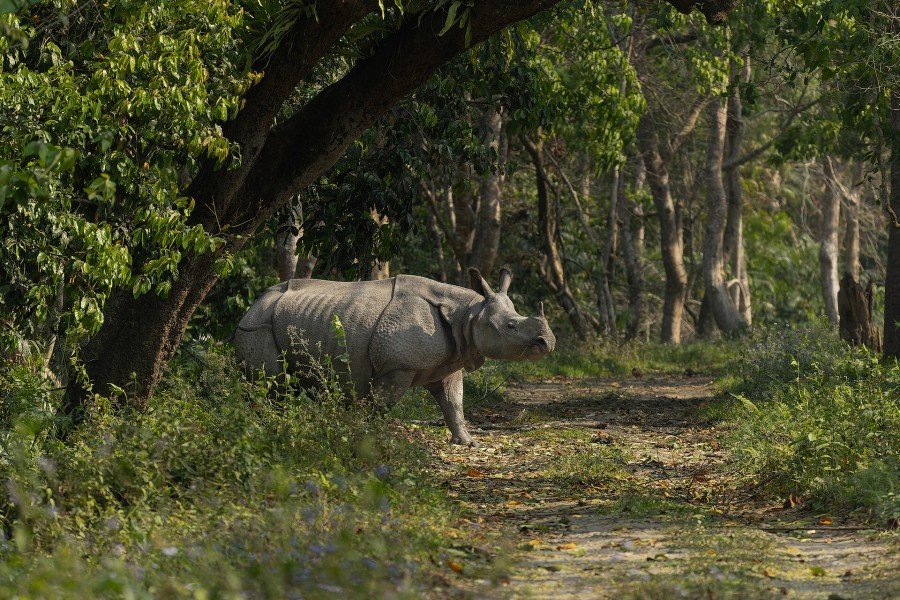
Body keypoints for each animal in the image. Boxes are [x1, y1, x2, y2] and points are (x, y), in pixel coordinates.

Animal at [234, 268, 555, 445]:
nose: (548, 343)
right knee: (272, 384)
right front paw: (370, 439)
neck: (468, 314)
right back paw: (267, 429)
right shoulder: (397, 366)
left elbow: (454, 403)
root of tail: (252, 305)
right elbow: (382, 405)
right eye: (511, 326)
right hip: (257, 325)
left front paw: (467, 443)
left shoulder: (451, 362)